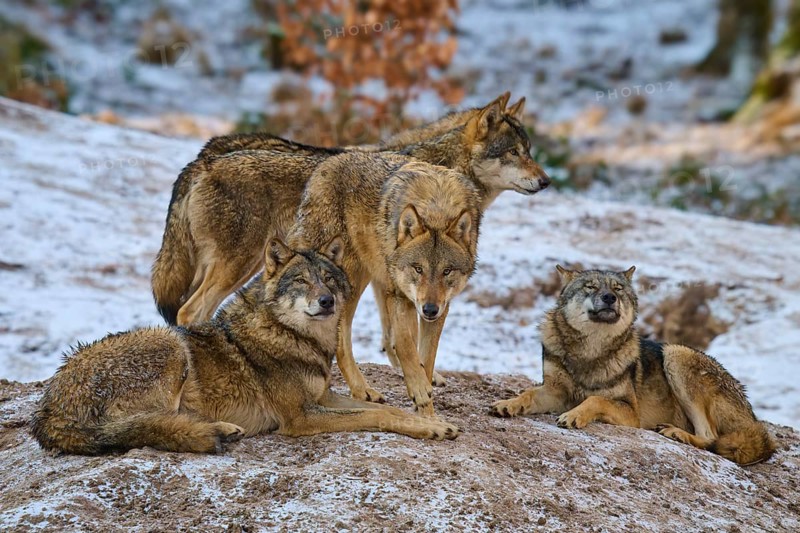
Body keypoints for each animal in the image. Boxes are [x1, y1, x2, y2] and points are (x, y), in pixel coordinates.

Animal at [31, 237, 458, 455]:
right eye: (301, 280)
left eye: (328, 279)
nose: (327, 302)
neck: (293, 336)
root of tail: (49, 407)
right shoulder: (301, 418)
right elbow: (374, 416)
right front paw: (428, 427)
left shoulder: (323, 397)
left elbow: (382, 408)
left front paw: (434, 422)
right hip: (169, 344)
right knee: (148, 427)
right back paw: (218, 430)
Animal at [151, 93, 547, 329]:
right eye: (513, 153)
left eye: (529, 151)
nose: (546, 181)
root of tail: (203, 163)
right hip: (236, 265)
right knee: (189, 311)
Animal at [287, 154, 480, 415]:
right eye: (418, 268)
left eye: (446, 271)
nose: (429, 309)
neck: (435, 207)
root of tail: (325, 164)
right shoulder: (396, 294)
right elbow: (405, 345)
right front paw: (419, 390)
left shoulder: (439, 305)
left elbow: (426, 360)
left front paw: (427, 412)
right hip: (347, 280)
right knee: (341, 338)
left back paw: (362, 390)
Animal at [491, 266, 775, 466]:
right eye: (590, 287)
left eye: (617, 289)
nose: (609, 298)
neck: (590, 351)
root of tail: (752, 416)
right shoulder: (555, 392)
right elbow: (528, 393)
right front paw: (508, 403)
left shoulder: (631, 413)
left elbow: (595, 399)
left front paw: (574, 415)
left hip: (676, 353)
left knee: (710, 437)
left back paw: (676, 433)